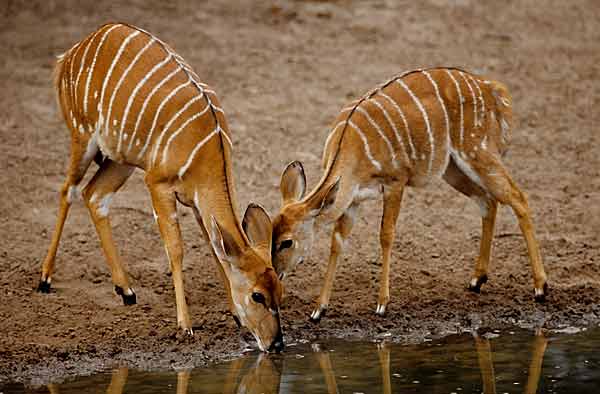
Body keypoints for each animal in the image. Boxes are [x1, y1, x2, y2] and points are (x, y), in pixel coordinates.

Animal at [38, 23, 284, 352]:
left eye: (280, 290)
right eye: (257, 295)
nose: (277, 343)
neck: (208, 149)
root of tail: (69, 55)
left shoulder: (196, 202)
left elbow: (213, 247)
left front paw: (234, 314)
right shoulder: (158, 184)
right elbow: (176, 249)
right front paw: (185, 326)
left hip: (120, 159)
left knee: (95, 196)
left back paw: (126, 291)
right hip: (83, 137)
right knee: (69, 191)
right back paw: (45, 279)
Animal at [272, 67, 548, 320]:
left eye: (287, 241)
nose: (277, 274)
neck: (352, 145)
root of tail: (492, 89)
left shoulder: (396, 182)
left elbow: (386, 234)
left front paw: (382, 304)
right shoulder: (352, 199)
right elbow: (337, 242)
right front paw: (319, 309)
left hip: (478, 152)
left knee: (518, 197)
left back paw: (540, 288)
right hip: (453, 169)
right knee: (488, 201)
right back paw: (476, 280)